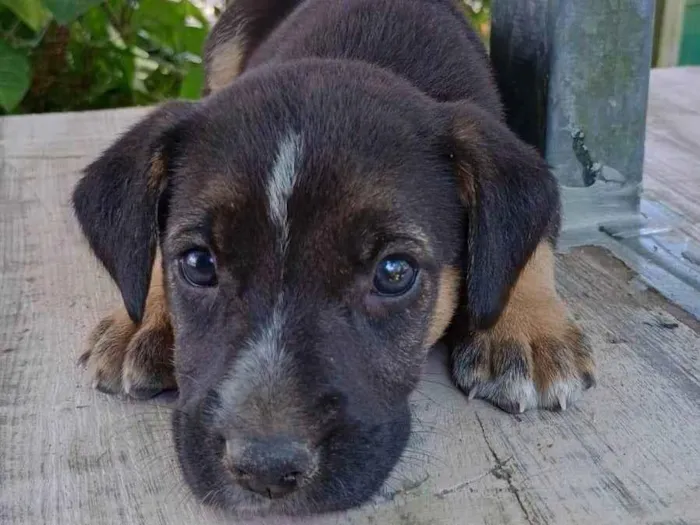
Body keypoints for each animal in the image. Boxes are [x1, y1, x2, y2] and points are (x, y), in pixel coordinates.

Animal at [72, 0, 596, 516]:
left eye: (394, 272)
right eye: (199, 264)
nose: (265, 471)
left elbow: (532, 239)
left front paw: (527, 331)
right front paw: (142, 320)